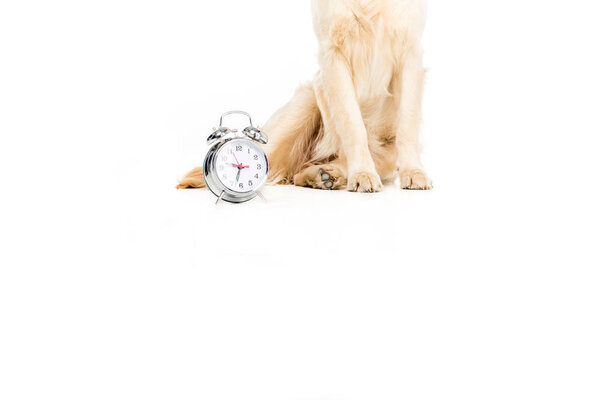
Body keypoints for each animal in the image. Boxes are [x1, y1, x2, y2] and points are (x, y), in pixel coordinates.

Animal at [177, 0, 432, 194]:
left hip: (386, 153)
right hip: (302, 107)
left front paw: (414, 172)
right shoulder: (333, 54)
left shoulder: (410, 52)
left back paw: (325, 175)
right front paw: (362, 173)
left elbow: (407, 123)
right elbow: (353, 124)